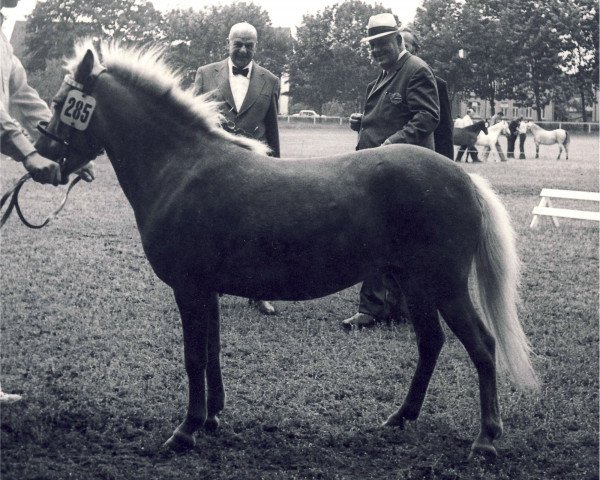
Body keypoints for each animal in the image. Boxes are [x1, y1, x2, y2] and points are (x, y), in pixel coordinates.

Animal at [34, 41, 540, 458]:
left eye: (59, 105)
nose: (41, 162)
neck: (182, 167)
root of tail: (463, 177)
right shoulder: (207, 291)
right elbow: (212, 353)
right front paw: (212, 417)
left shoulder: (190, 289)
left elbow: (194, 357)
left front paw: (186, 431)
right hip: (416, 285)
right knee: (431, 343)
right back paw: (401, 418)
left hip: (445, 285)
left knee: (482, 345)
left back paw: (486, 439)